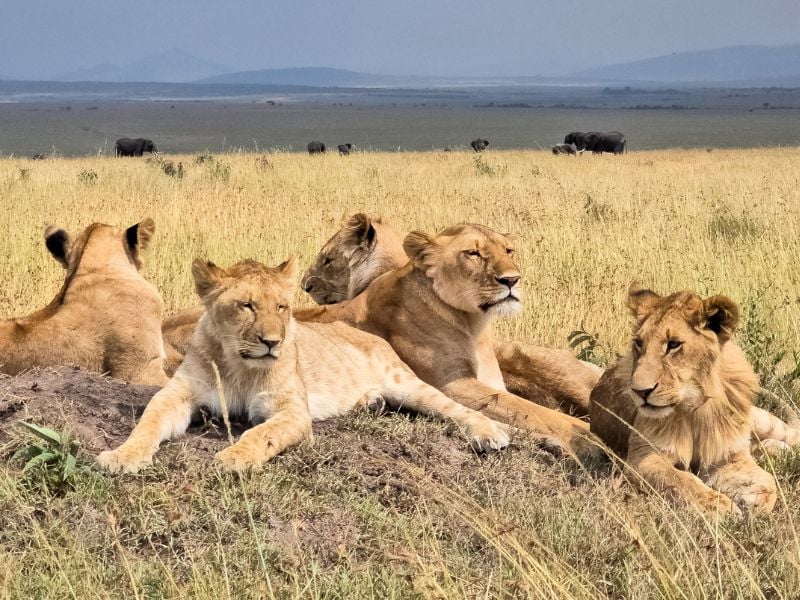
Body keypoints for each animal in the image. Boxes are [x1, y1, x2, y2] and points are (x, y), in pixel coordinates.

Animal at [97, 256, 509, 473]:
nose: (272, 342)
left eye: (282, 307)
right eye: (246, 305)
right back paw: (371, 403)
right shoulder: (179, 394)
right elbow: (148, 422)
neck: (238, 364)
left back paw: (490, 432)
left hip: (407, 383)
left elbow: (261, 434)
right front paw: (122, 456)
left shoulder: (293, 410)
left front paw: (234, 458)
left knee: (451, 407)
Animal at [590, 284, 781, 516]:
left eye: (673, 345)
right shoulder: (642, 457)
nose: (639, 391)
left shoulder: (729, 455)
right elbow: (681, 480)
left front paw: (757, 499)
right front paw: (718, 505)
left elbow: (768, 480)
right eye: (639, 343)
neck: (694, 407)